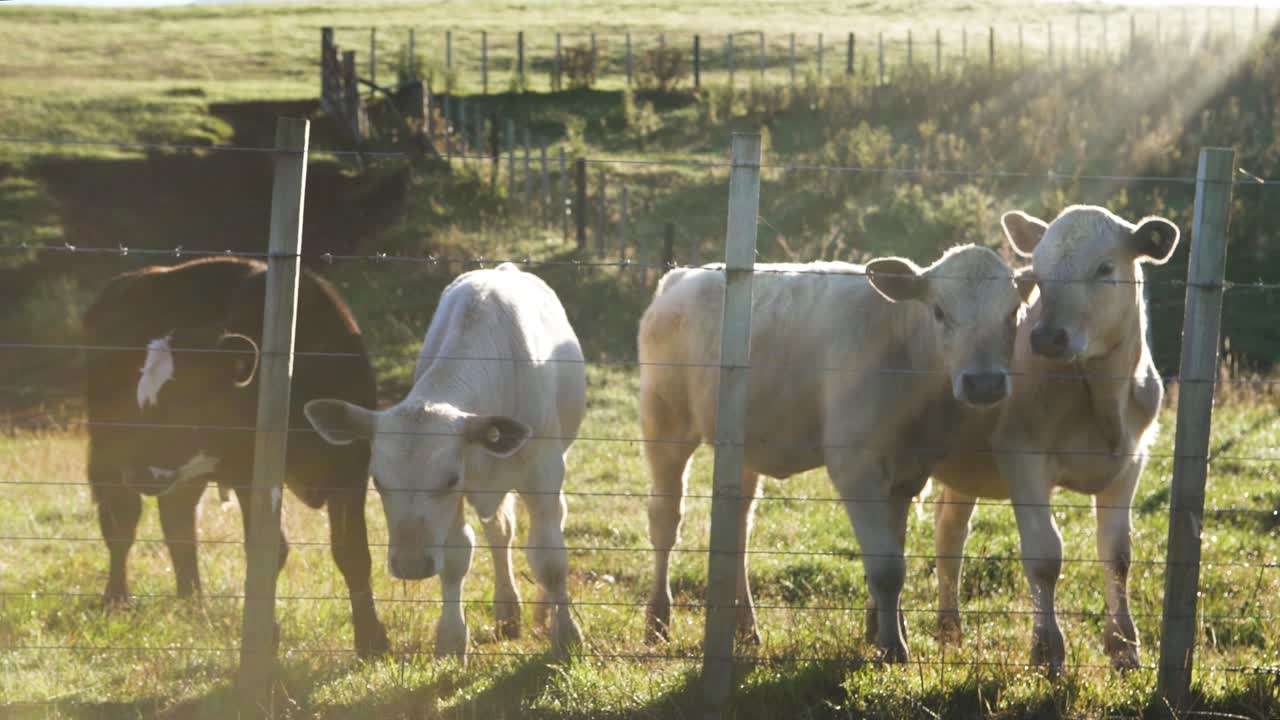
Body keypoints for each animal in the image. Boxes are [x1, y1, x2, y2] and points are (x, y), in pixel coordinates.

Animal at [83, 256, 388, 657]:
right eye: (142, 396)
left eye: (187, 399)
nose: (137, 472)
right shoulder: (249, 475)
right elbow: (268, 550)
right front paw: (264, 636)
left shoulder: (350, 469)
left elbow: (352, 552)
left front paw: (371, 640)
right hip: (108, 451)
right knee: (120, 523)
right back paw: (117, 600)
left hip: (186, 473)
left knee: (178, 523)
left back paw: (193, 604)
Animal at [304, 263, 587, 659]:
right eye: (378, 482)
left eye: (449, 479)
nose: (410, 564)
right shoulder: (460, 497)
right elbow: (455, 559)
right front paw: (452, 638)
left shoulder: (542, 474)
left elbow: (550, 559)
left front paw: (567, 635)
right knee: (500, 533)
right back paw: (507, 609)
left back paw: (542, 609)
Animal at [638, 245, 1032, 661]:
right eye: (939, 311)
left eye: (1013, 312)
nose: (984, 384)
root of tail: (680, 278)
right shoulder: (856, 469)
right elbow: (887, 569)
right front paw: (893, 647)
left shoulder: (907, 475)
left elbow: (893, 554)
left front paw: (882, 629)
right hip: (665, 426)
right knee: (665, 518)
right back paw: (658, 620)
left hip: (741, 446)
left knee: (738, 528)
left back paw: (745, 627)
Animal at [931, 205, 1178, 673]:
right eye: (1040, 275)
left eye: (1104, 268)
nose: (1046, 336)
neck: (1102, 398)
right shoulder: (1021, 455)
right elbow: (1044, 555)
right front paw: (1047, 651)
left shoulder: (1132, 461)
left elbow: (1118, 554)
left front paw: (1125, 648)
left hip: (962, 473)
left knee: (950, 533)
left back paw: (949, 633)